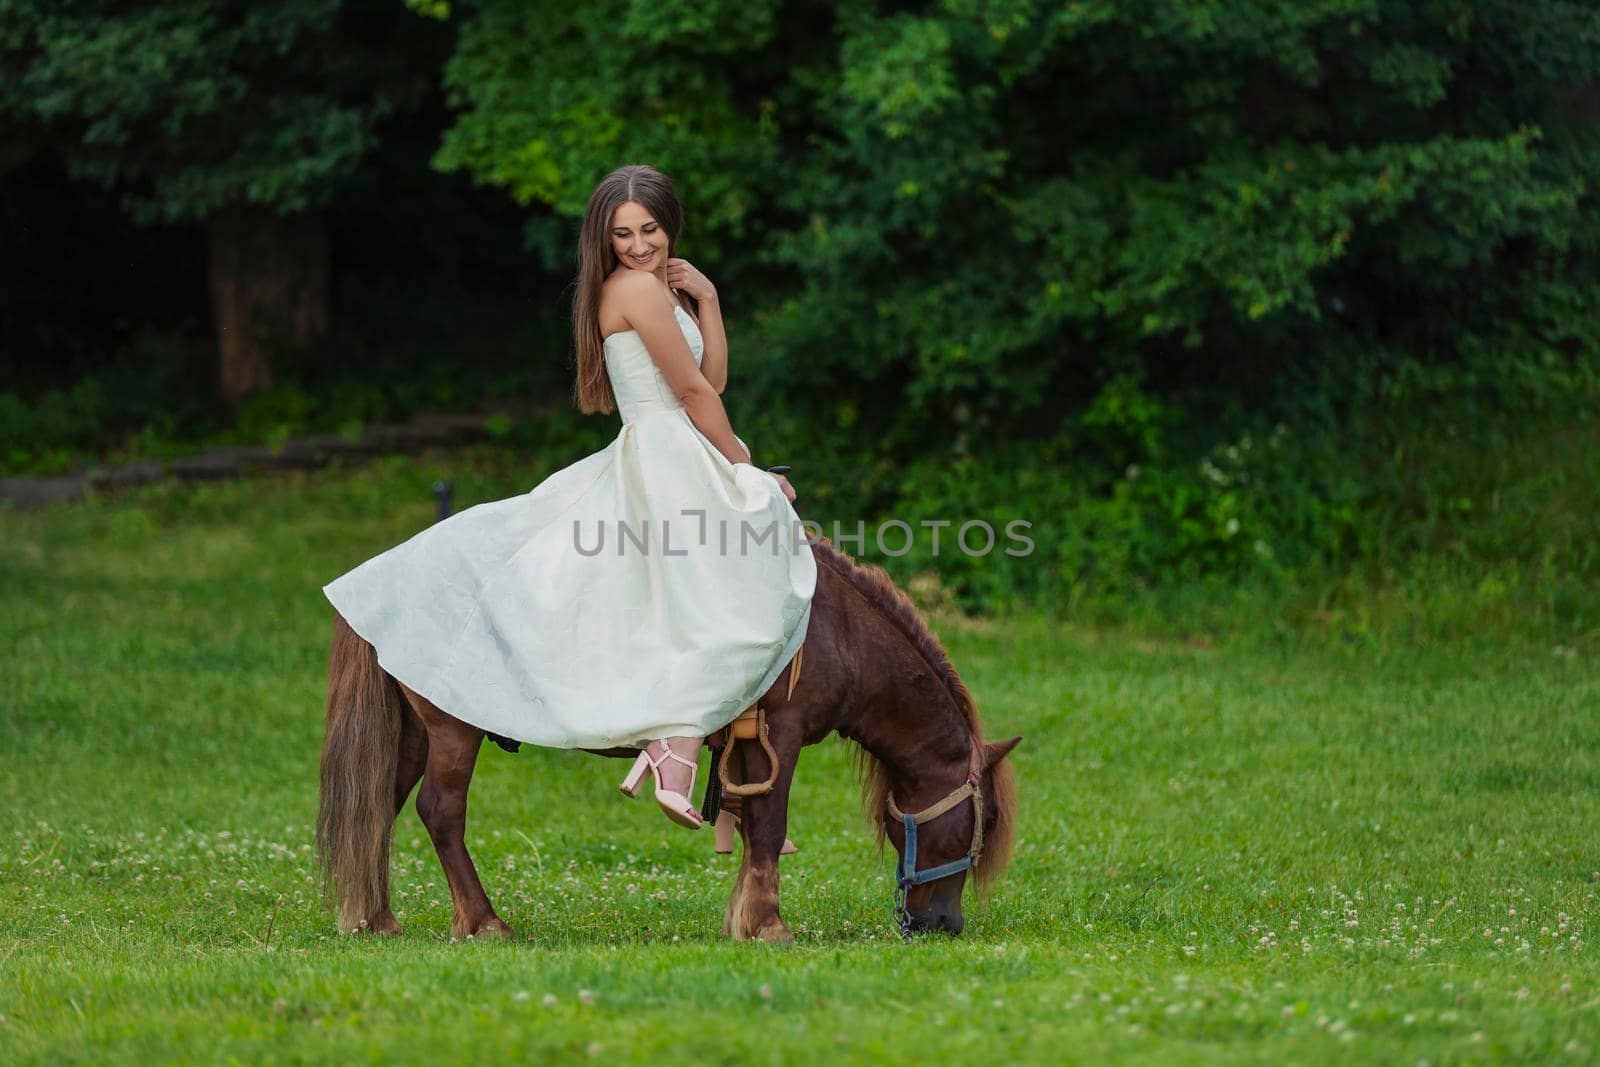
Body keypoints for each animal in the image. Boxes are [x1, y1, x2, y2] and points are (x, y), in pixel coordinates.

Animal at [315, 537, 1011, 940]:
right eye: (980, 824)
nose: (944, 924)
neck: (836, 630)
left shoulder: (747, 749)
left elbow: (753, 827)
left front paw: (744, 920)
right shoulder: (780, 738)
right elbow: (770, 826)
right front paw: (769, 926)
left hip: (413, 734)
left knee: (377, 808)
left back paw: (376, 919)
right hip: (453, 732)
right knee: (441, 812)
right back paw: (483, 923)